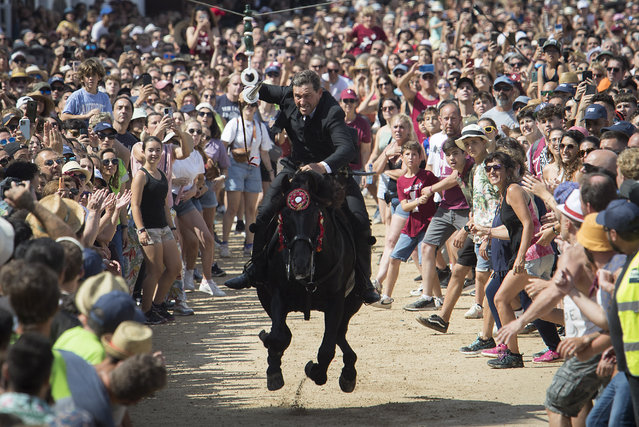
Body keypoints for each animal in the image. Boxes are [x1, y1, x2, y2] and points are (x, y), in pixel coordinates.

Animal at [256, 172, 364, 392]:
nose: (300, 265)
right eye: (285, 216)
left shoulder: (336, 300)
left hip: (352, 302)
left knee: (339, 333)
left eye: (316, 215)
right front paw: (274, 371)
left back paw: (348, 372)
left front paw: (315, 371)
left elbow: (327, 348)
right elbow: (278, 336)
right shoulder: (277, 294)